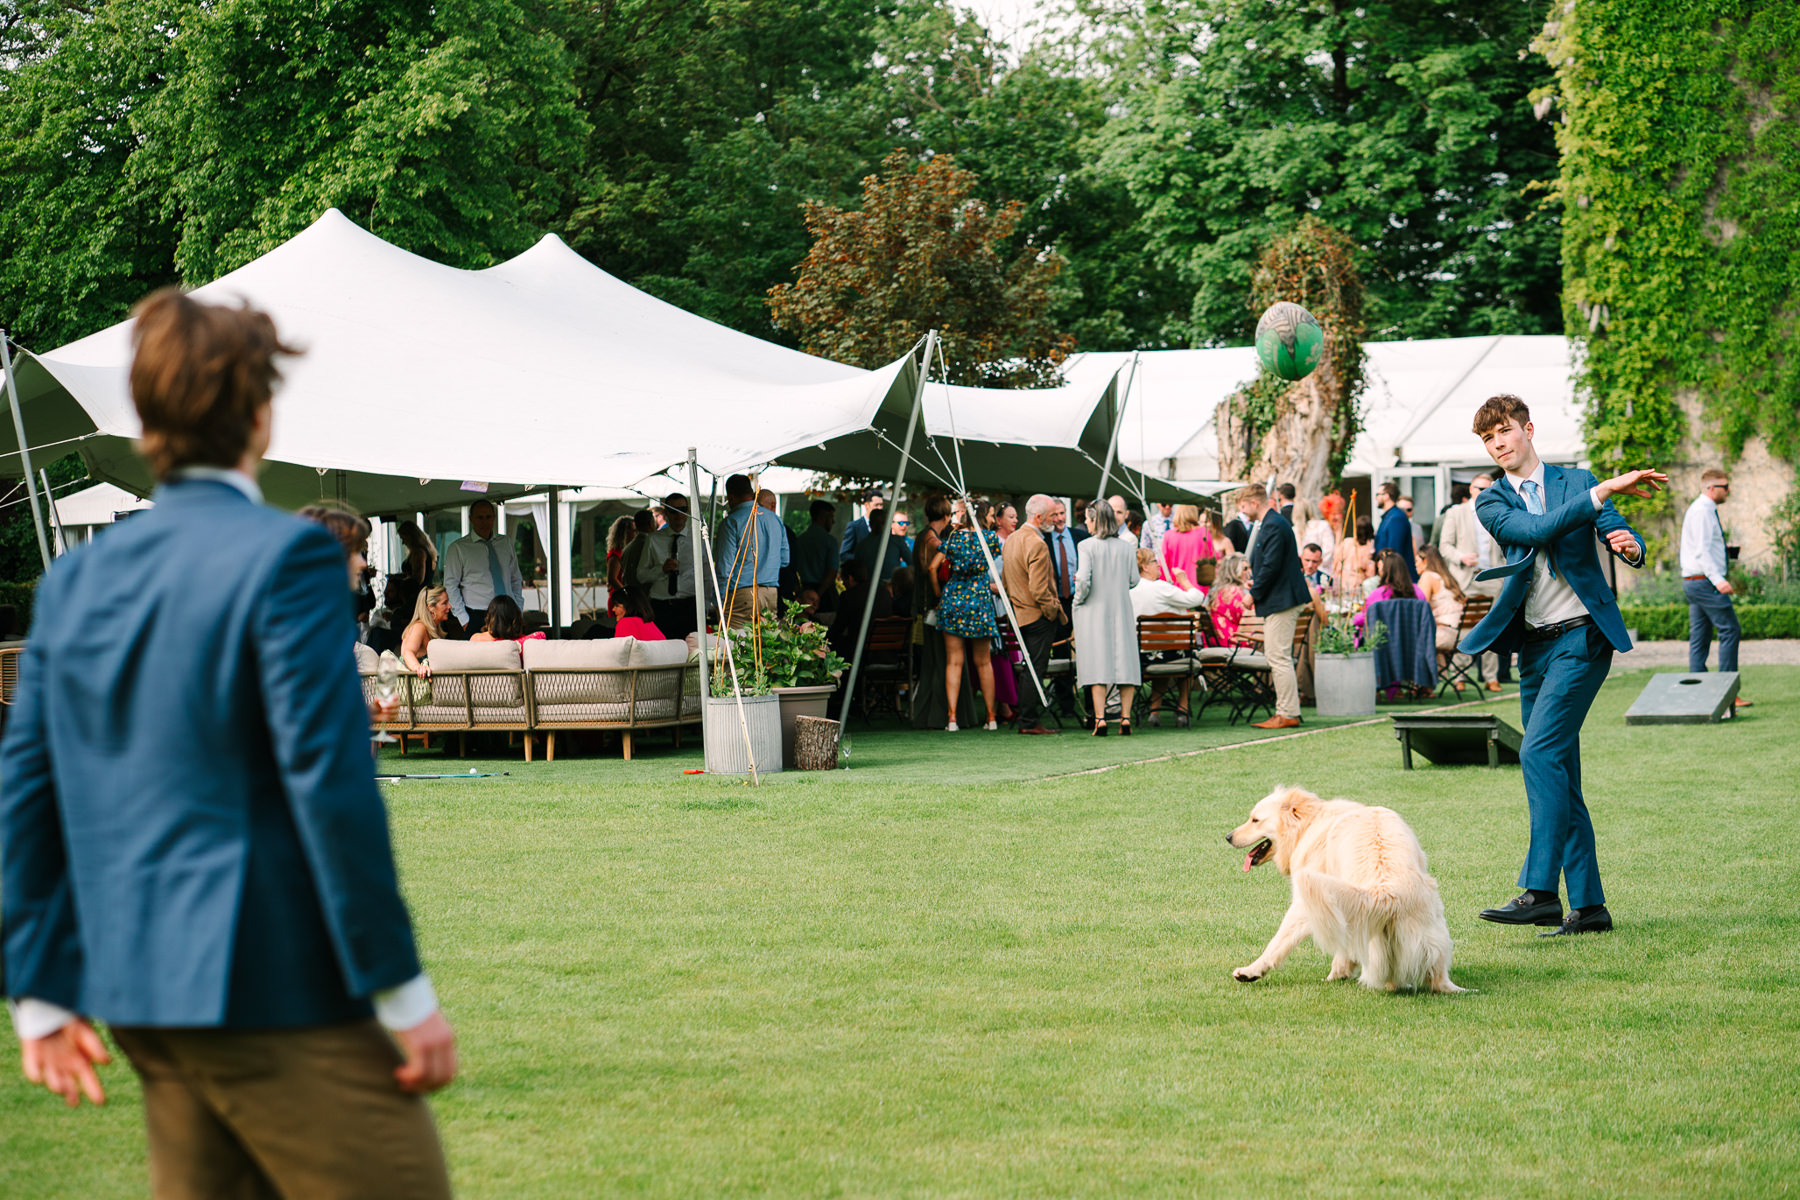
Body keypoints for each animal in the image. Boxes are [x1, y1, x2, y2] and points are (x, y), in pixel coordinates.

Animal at [1224, 788, 1461, 993]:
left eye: (1255, 820)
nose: (1227, 837)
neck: (1310, 823)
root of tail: (1386, 894)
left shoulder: (1308, 903)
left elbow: (1277, 943)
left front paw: (1250, 972)